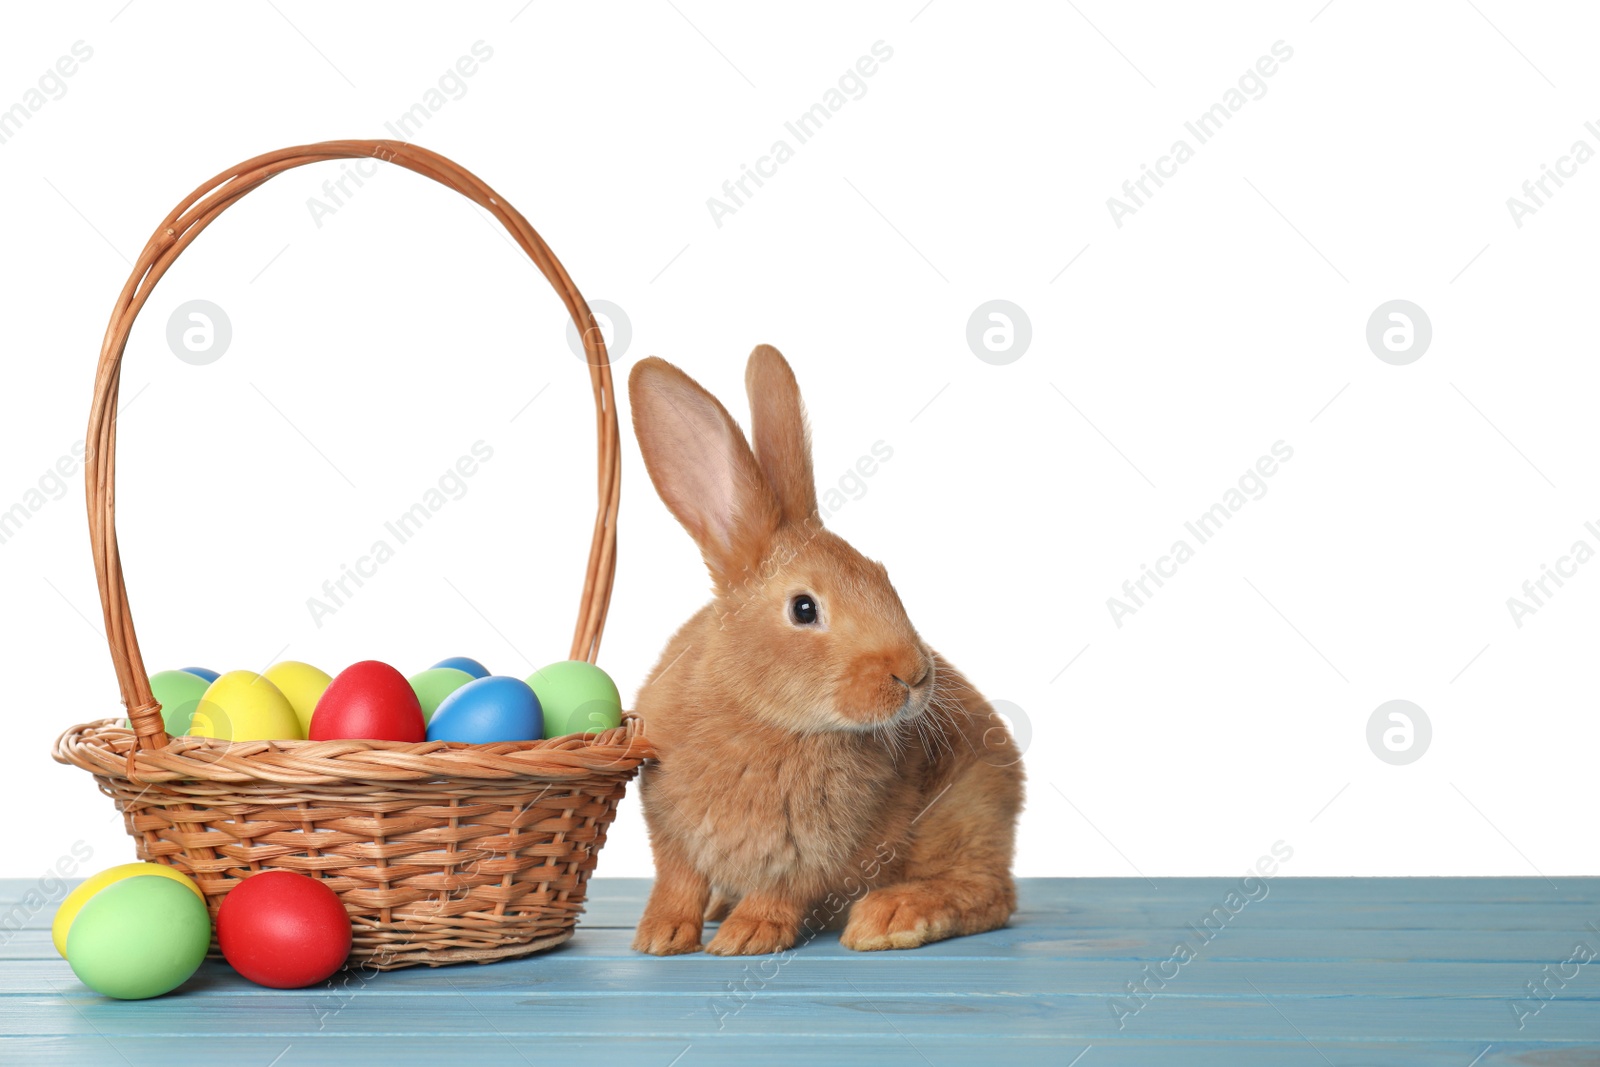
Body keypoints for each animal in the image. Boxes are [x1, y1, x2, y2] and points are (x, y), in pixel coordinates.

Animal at [627, 347, 1024, 953]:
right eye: (804, 609)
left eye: (884, 579)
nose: (914, 676)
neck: (765, 717)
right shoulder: (671, 832)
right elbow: (677, 881)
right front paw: (661, 936)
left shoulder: (815, 854)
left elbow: (782, 891)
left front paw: (747, 937)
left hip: (965, 812)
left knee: (989, 893)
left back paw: (892, 918)